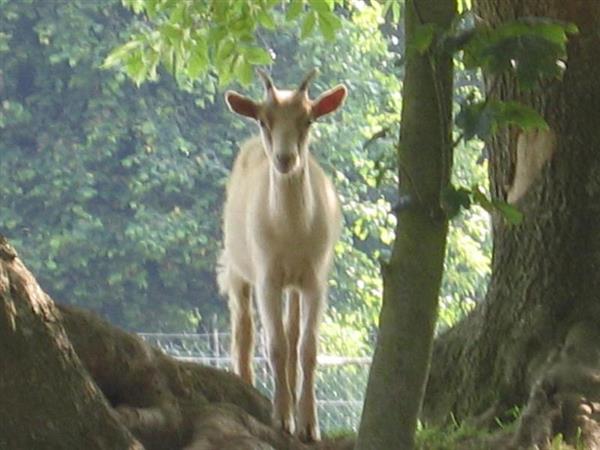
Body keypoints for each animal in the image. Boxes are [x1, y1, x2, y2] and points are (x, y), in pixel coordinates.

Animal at [218, 68, 344, 442]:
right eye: (264, 120)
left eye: (309, 120)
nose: (285, 159)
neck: (291, 231)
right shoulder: (267, 277)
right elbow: (274, 345)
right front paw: (282, 418)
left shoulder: (315, 278)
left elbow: (306, 347)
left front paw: (309, 424)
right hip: (237, 263)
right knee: (243, 325)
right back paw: (246, 383)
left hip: (295, 283)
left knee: (292, 332)